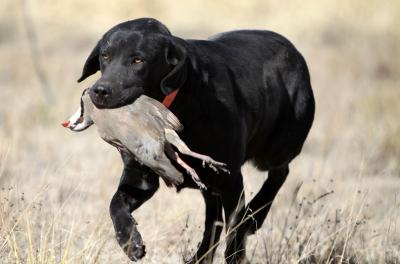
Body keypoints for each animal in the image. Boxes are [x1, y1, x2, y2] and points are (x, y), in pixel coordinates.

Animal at [77, 17, 316, 262]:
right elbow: (116, 203)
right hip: (211, 186)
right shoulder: (141, 177)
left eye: (138, 60)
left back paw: (254, 217)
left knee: (279, 174)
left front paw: (237, 250)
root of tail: (294, 53)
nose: (100, 91)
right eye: (105, 56)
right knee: (214, 222)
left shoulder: (231, 180)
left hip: (275, 148)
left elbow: (234, 232)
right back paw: (200, 256)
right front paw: (130, 241)